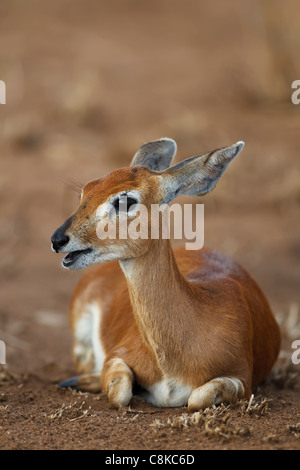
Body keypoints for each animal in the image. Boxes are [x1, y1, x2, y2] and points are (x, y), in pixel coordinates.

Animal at [51, 138, 282, 410]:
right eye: (85, 191)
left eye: (125, 200)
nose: (58, 239)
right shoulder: (116, 357)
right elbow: (120, 392)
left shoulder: (242, 380)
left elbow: (198, 398)